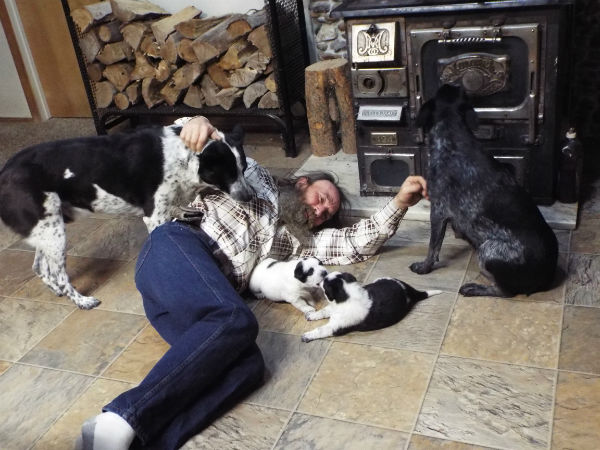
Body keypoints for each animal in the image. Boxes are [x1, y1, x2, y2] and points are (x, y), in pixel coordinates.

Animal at [0, 124, 253, 309]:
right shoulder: (154, 217)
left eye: (243, 169)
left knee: (40, 268)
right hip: (54, 233)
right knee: (58, 274)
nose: (250, 196)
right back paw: (82, 301)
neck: (184, 157)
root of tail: (4, 173)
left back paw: (58, 291)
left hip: (47, 229)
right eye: (228, 173)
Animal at [301, 272, 441, 342]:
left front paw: (306, 336)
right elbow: (324, 310)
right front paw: (312, 315)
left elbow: (321, 330)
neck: (347, 296)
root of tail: (408, 289)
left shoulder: (336, 326)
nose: (318, 283)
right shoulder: (334, 308)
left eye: (324, 284)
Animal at [409, 84, 558, 297]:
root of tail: (546, 277)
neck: (453, 136)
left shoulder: (438, 210)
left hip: (487, 251)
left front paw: (424, 267)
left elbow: (433, 247)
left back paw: (474, 288)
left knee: (505, 291)